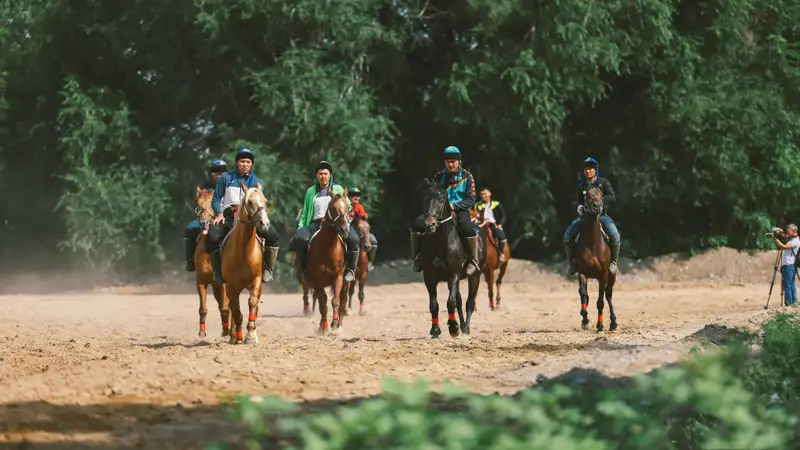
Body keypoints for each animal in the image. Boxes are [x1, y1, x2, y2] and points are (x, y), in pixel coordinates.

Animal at [192, 188, 230, 340]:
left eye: (213, 204)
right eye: (198, 203)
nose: (204, 223)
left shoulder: (224, 284)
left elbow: (225, 307)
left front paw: (226, 332)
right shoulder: (201, 282)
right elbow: (202, 308)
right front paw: (202, 332)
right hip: (215, 287)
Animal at [217, 183, 270, 344]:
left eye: (265, 201)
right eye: (250, 202)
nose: (265, 224)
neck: (243, 251)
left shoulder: (256, 280)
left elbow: (252, 302)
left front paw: (251, 336)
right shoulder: (231, 286)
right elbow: (236, 311)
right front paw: (238, 337)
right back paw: (234, 335)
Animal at [304, 188, 350, 332]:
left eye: (348, 207)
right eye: (333, 208)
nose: (344, 229)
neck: (327, 249)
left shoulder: (338, 276)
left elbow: (335, 301)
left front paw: (334, 324)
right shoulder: (316, 280)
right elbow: (322, 304)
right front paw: (323, 326)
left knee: (343, 301)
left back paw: (339, 325)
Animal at [416, 178, 484, 338]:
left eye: (442, 199)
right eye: (424, 197)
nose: (430, 224)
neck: (440, 243)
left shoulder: (454, 275)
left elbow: (450, 302)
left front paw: (453, 327)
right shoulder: (429, 277)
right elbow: (434, 304)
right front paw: (435, 330)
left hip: (475, 276)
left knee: (469, 302)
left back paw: (465, 329)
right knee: (459, 301)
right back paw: (462, 325)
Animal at [576, 184, 620, 334]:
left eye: (601, 194)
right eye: (587, 195)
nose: (597, 206)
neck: (593, 244)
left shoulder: (603, 275)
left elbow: (600, 301)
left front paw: (600, 327)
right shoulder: (582, 272)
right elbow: (583, 294)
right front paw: (584, 320)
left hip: (612, 277)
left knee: (608, 295)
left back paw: (613, 322)